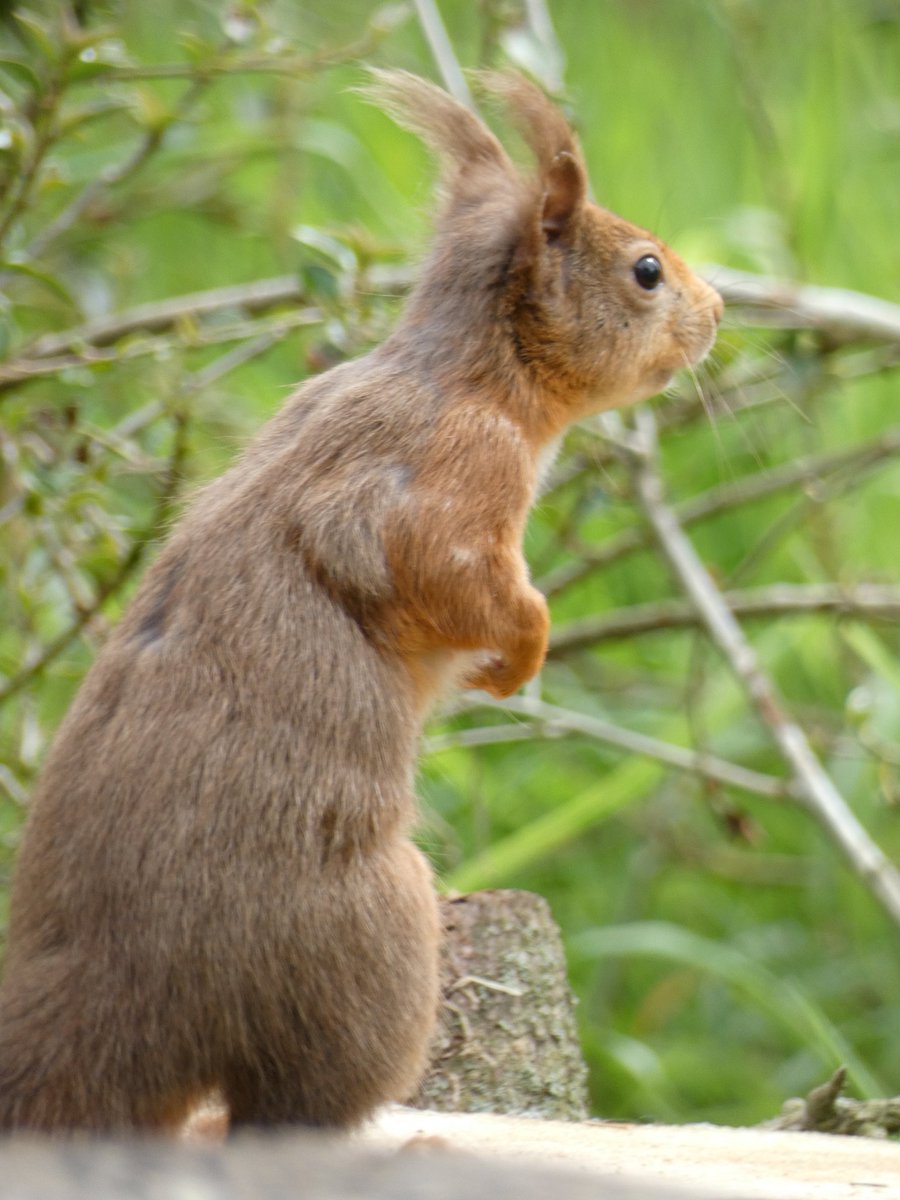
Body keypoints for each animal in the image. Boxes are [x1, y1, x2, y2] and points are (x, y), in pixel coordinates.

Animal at [0, 72, 724, 1132]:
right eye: (645, 271)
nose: (719, 310)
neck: (477, 375)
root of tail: (119, 992)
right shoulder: (451, 480)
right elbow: (454, 581)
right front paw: (522, 656)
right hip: (371, 945)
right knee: (288, 1112)